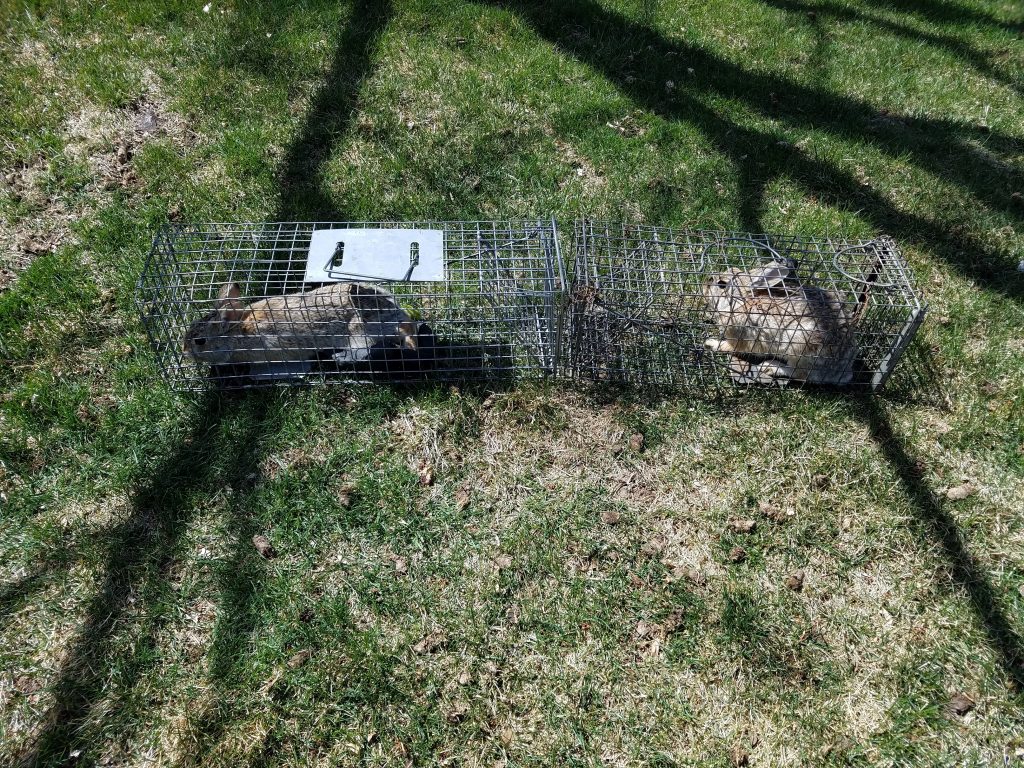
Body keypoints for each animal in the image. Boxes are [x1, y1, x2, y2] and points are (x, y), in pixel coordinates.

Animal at [703, 260, 858, 386]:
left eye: (721, 284)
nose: (705, 283)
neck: (742, 302)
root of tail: (841, 371)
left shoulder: (741, 338)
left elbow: (730, 347)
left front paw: (711, 344)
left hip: (800, 347)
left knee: (801, 374)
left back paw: (770, 366)